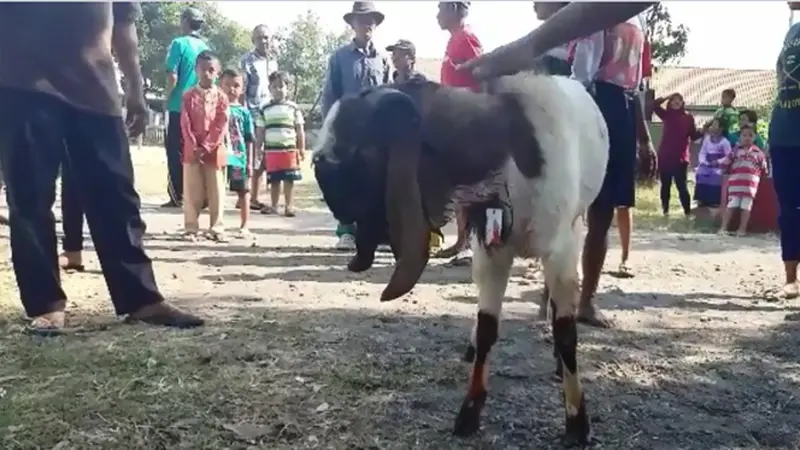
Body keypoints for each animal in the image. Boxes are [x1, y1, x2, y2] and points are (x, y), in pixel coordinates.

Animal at [312, 74, 608, 446]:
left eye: (359, 151)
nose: (319, 165)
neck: (509, 148)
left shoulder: (562, 248)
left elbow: (566, 333)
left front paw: (577, 421)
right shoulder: (492, 251)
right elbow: (487, 329)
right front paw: (469, 412)